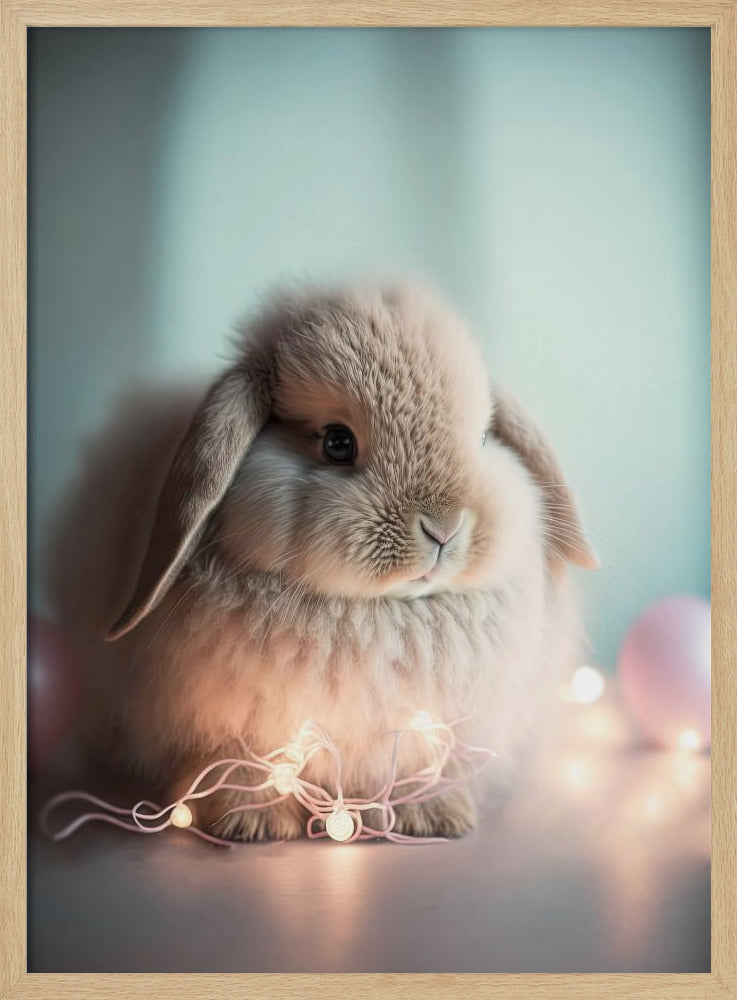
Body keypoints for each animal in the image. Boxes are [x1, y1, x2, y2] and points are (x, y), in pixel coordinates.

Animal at [47, 283, 598, 841]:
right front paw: (252, 823)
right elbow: (244, 763)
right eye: (337, 442)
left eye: (483, 438)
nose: (443, 529)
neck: (375, 613)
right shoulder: (234, 724)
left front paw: (433, 816)